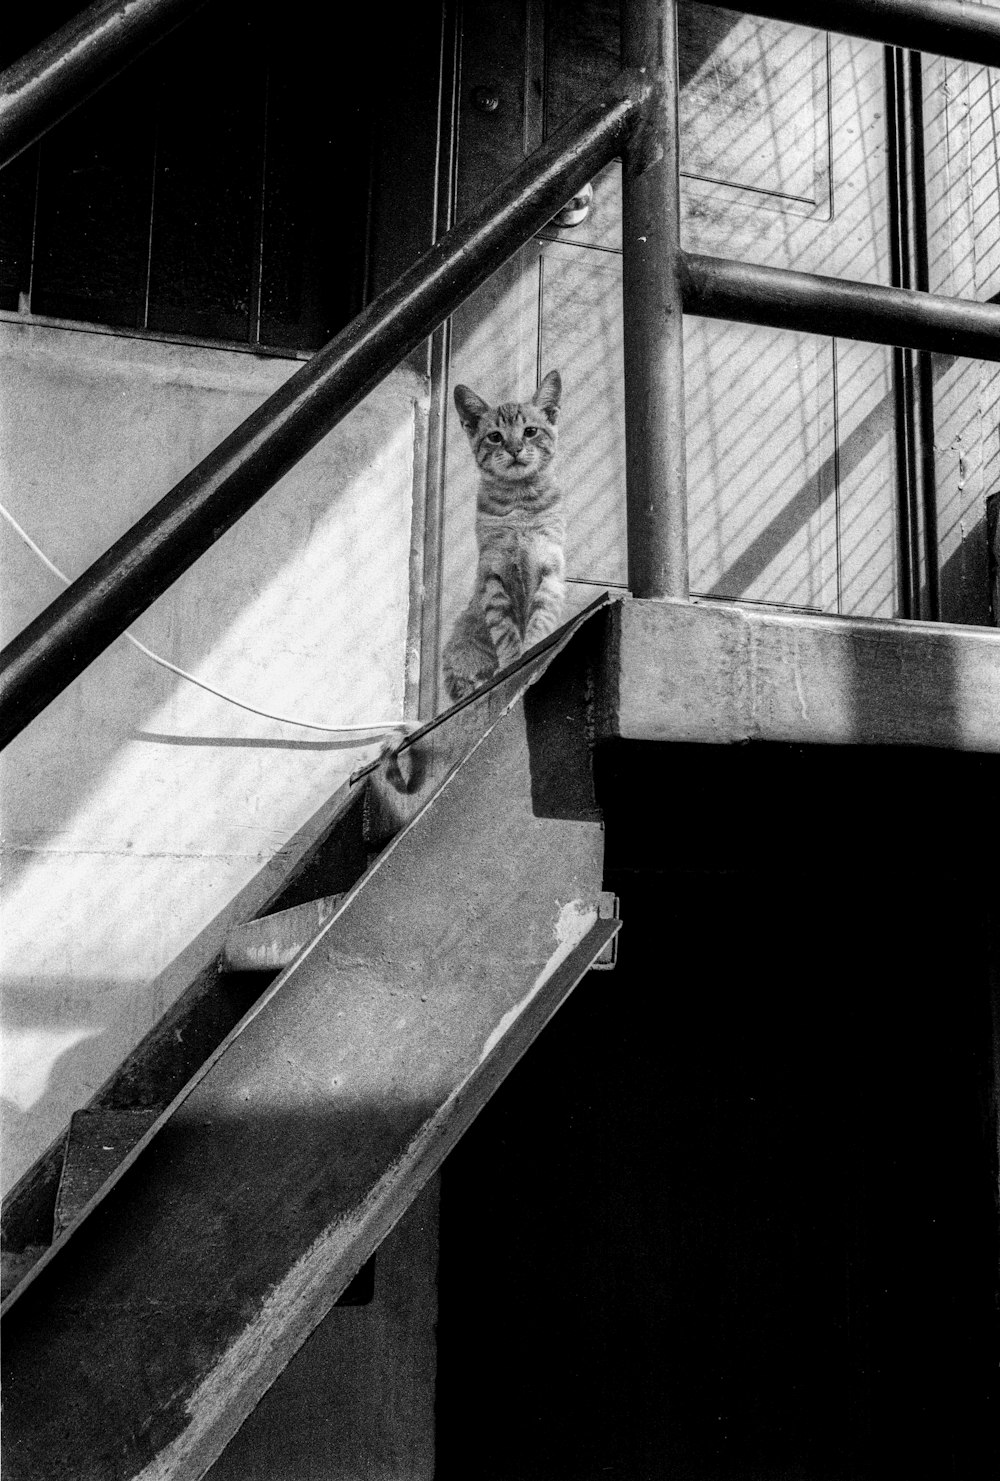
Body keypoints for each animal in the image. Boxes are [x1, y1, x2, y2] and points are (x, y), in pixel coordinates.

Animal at [441, 364, 565, 699]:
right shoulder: (493, 571)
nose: (514, 449)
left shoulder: (549, 565)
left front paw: (532, 648)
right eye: (495, 437)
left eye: (530, 431)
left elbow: (541, 617)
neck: (519, 501)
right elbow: (505, 630)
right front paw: (511, 663)